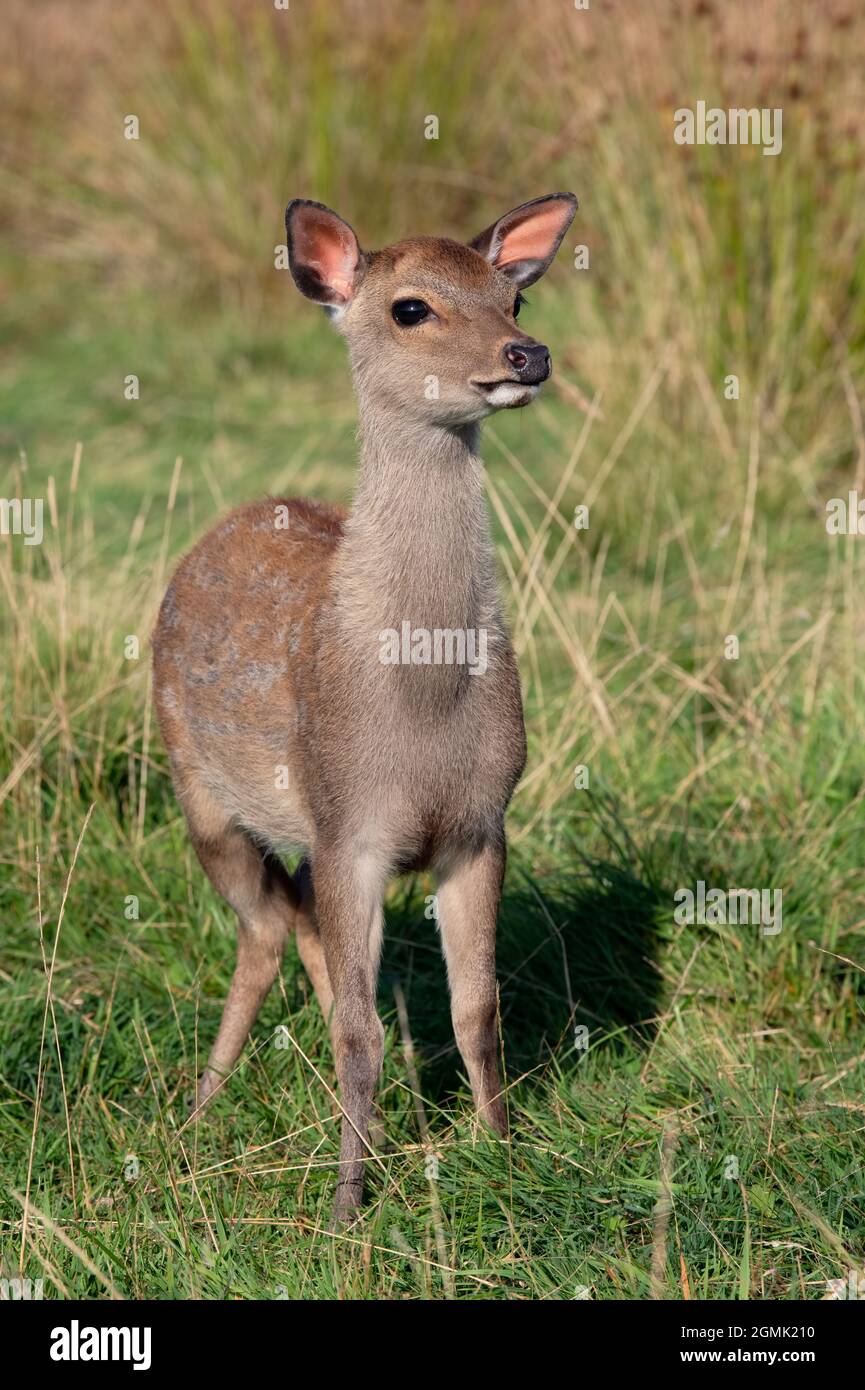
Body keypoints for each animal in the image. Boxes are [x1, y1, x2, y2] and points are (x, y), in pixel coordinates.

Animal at [152, 192, 577, 1223]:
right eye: (410, 308)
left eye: (512, 293)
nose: (527, 355)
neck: (418, 706)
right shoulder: (351, 824)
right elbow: (360, 1030)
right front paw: (346, 1208)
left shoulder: (479, 823)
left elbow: (475, 1008)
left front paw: (503, 1152)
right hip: (197, 787)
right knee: (265, 927)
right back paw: (199, 1107)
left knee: (298, 918)